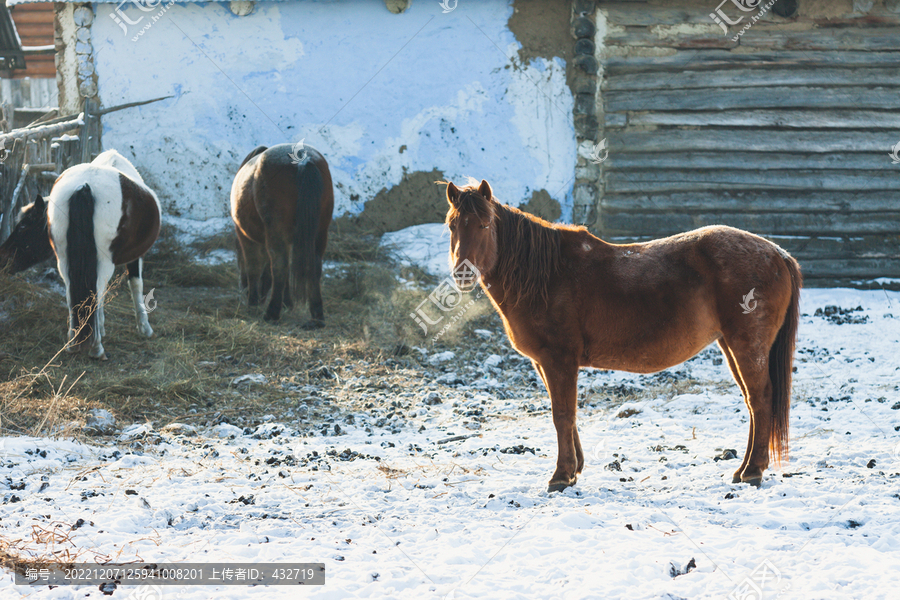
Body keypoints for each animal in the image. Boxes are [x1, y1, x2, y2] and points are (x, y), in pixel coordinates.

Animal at [47, 149, 162, 358]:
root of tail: (85, 185)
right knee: (97, 290)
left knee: (72, 292)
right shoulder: (134, 257)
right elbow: (135, 284)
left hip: (64, 260)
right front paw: (145, 328)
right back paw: (96, 348)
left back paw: (73, 342)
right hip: (103, 260)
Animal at [229, 144, 334, 326]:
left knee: (279, 266)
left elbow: (253, 268)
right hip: (320, 232)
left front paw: (253, 303)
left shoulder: (246, 238)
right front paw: (287, 302)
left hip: (276, 232)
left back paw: (271, 312)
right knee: (314, 266)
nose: (244, 290)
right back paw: (316, 316)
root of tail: (303, 160)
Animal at [444, 179, 800, 492]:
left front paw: (561, 476)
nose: (463, 273)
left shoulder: (559, 360)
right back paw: (744, 469)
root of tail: (777, 253)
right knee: (753, 403)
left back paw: (752, 471)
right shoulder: (545, 363)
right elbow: (568, 416)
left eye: (485, 225)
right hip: (730, 345)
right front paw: (574, 469)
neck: (547, 276)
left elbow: (562, 415)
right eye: (452, 225)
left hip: (746, 346)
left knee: (761, 399)